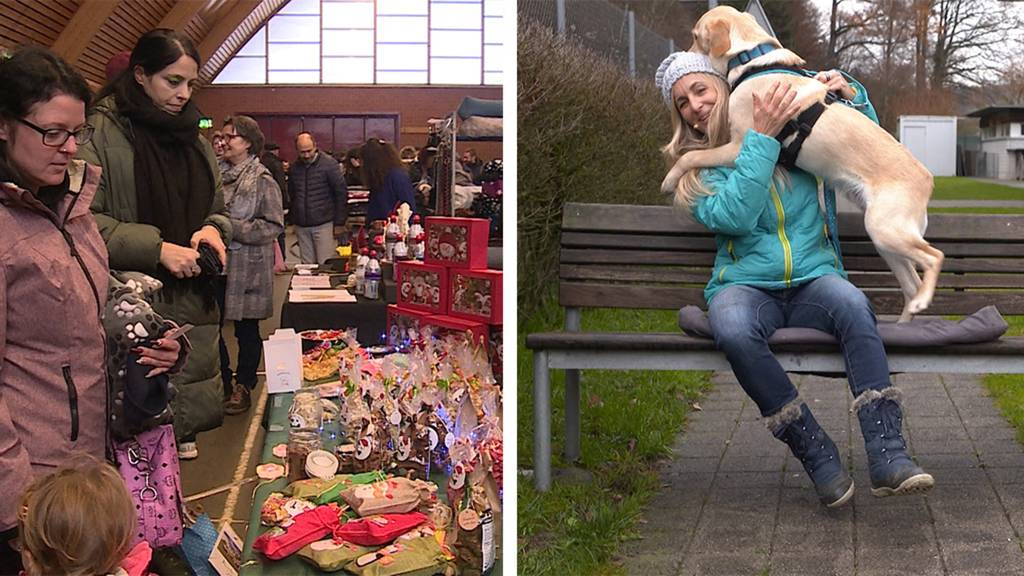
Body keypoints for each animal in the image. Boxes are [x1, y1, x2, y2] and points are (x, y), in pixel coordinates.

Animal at [663, 5, 942, 317]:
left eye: (695, 37)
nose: (680, 56)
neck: (751, 59)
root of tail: (927, 180)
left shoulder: (738, 145)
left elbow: (692, 155)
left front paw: (670, 179)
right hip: (884, 239)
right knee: (911, 283)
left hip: (886, 230)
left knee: (935, 256)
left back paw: (923, 299)